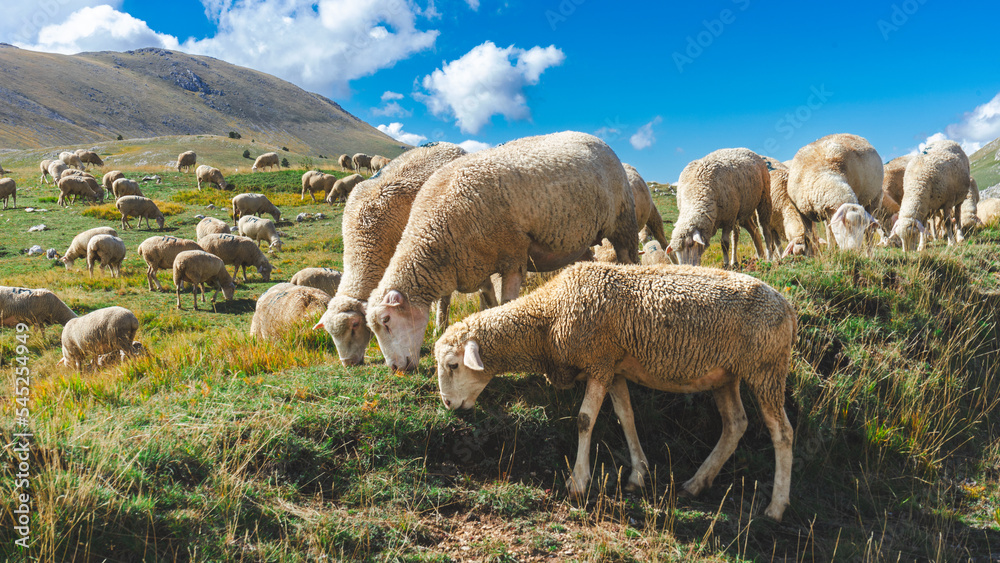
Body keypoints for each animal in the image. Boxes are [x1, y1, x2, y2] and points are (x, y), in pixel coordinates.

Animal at [365, 131, 639, 372]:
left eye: (386, 321)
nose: (396, 368)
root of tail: (597, 139)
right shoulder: (475, 263)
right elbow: (488, 299)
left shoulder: (513, 254)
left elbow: (507, 302)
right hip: (579, 238)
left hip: (623, 220)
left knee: (628, 257)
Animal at [434, 261, 796, 522]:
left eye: (452, 365)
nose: (448, 404)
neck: (549, 316)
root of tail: (787, 306)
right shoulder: (614, 367)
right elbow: (626, 416)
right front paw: (638, 474)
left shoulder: (598, 361)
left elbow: (584, 420)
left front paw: (578, 483)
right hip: (726, 375)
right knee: (735, 423)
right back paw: (696, 484)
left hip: (767, 368)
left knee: (782, 433)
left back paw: (776, 507)